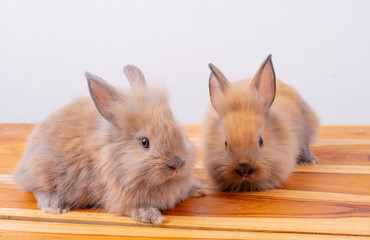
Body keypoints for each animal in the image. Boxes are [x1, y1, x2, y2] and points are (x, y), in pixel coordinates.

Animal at [13, 64, 205, 224]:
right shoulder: (119, 198)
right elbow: (132, 208)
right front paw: (153, 217)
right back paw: (55, 207)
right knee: (39, 190)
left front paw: (198, 189)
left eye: (178, 130)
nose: (177, 164)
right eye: (145, 142)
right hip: (41, 170)